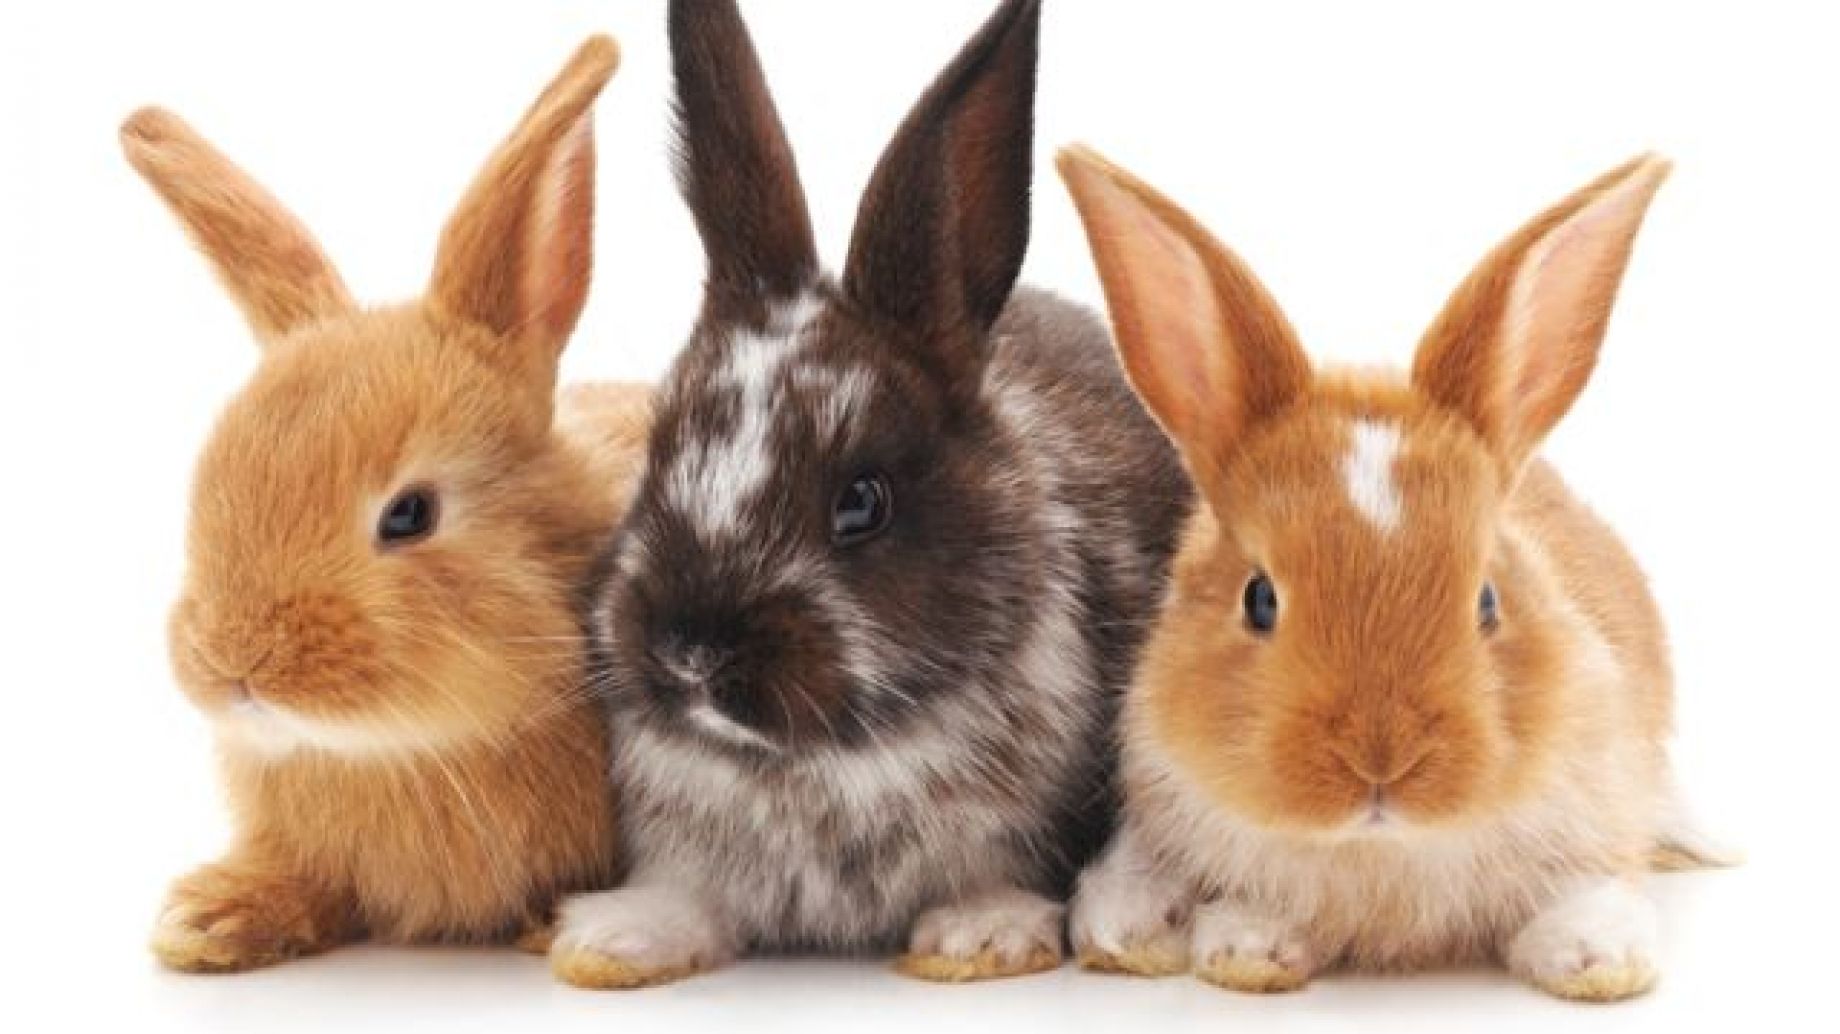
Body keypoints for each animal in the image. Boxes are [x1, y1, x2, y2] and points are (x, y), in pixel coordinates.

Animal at [547, 0, 1191, 988]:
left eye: (862, 502)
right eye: (659, 457)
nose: (690, 649)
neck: (824, 764)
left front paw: (980, 935)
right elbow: (687, 896)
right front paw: (614, 941)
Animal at [1055, 146, 1738, 1002]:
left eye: (1487, 600)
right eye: (1259, 599)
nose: (1382, 759)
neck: (1382, 851)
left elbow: (1590, 891)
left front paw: (1595, 962)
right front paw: (1248, 947)